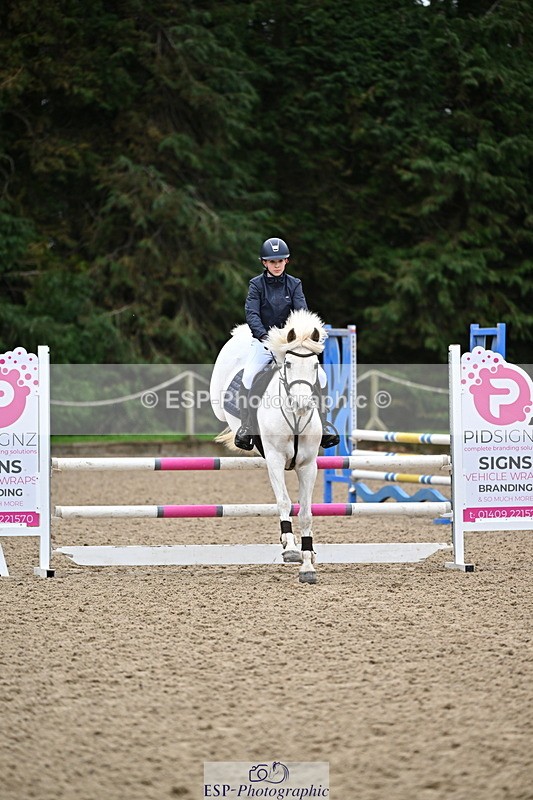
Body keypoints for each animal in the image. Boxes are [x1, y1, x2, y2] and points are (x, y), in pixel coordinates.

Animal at [210, 309, 326, 584]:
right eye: (289, 364)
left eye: (315, 365)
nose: (302, 404)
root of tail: (241, 334)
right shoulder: (274, 459)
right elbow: (284, 502)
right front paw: (291, 548)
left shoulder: (308, 465)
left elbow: (306, 512)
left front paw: (307, 564)